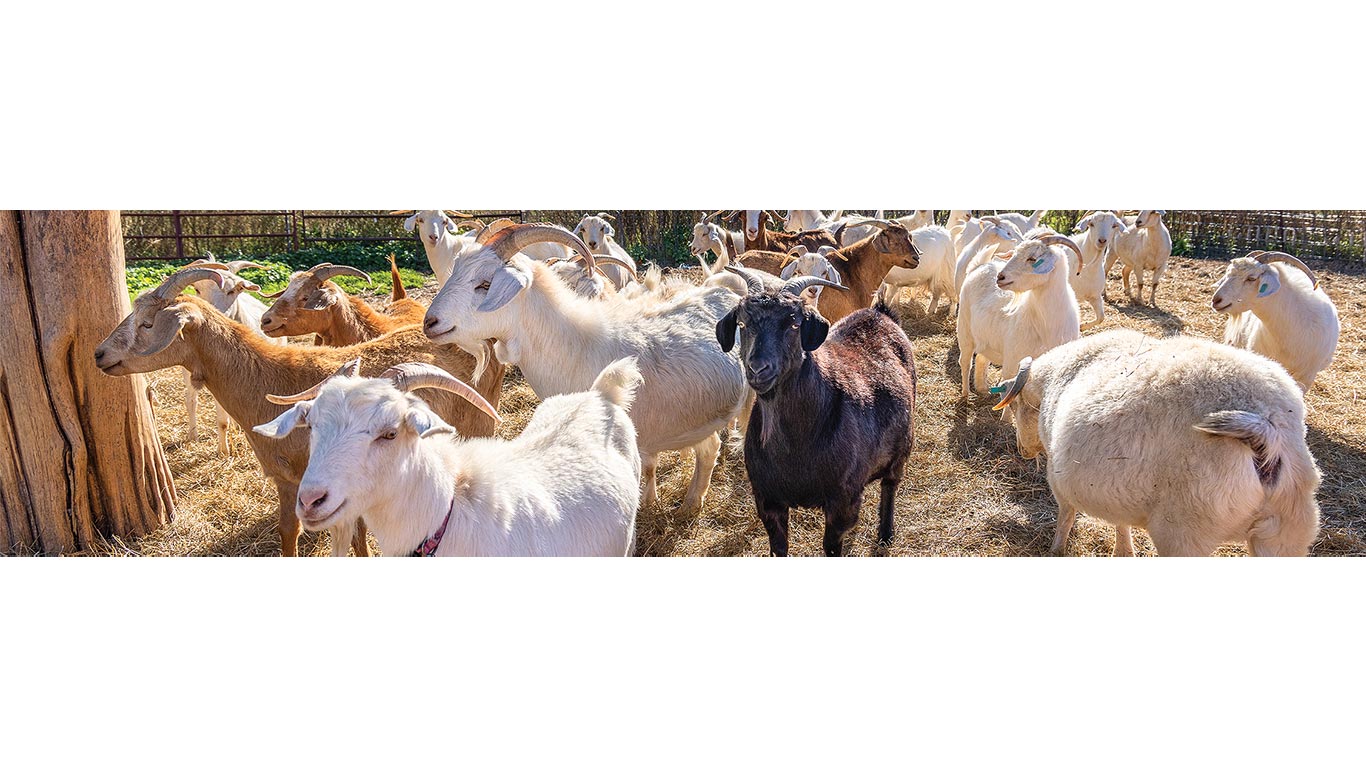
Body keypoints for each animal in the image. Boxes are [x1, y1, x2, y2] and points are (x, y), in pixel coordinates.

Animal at [717, 267, 915, 556]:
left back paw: (886, 534)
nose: (758, 368)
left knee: (890, 485)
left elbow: (832, 548)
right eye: (742, 324)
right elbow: (779, 548)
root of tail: (880, 313)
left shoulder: (842, 503)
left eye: (795, 324)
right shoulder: (767, 501)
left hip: (902, 449)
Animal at [993, 329, 1321, 556]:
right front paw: (1123, 552)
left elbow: (1065, 517)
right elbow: (1120, 523)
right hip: (1286, 531)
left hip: (1184, 531)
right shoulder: (1114, 489)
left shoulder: (1059, 479)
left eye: (1015, 406)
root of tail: (1268, 430)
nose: (1022, 450)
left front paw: (1056, 550)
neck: (1053, 382)